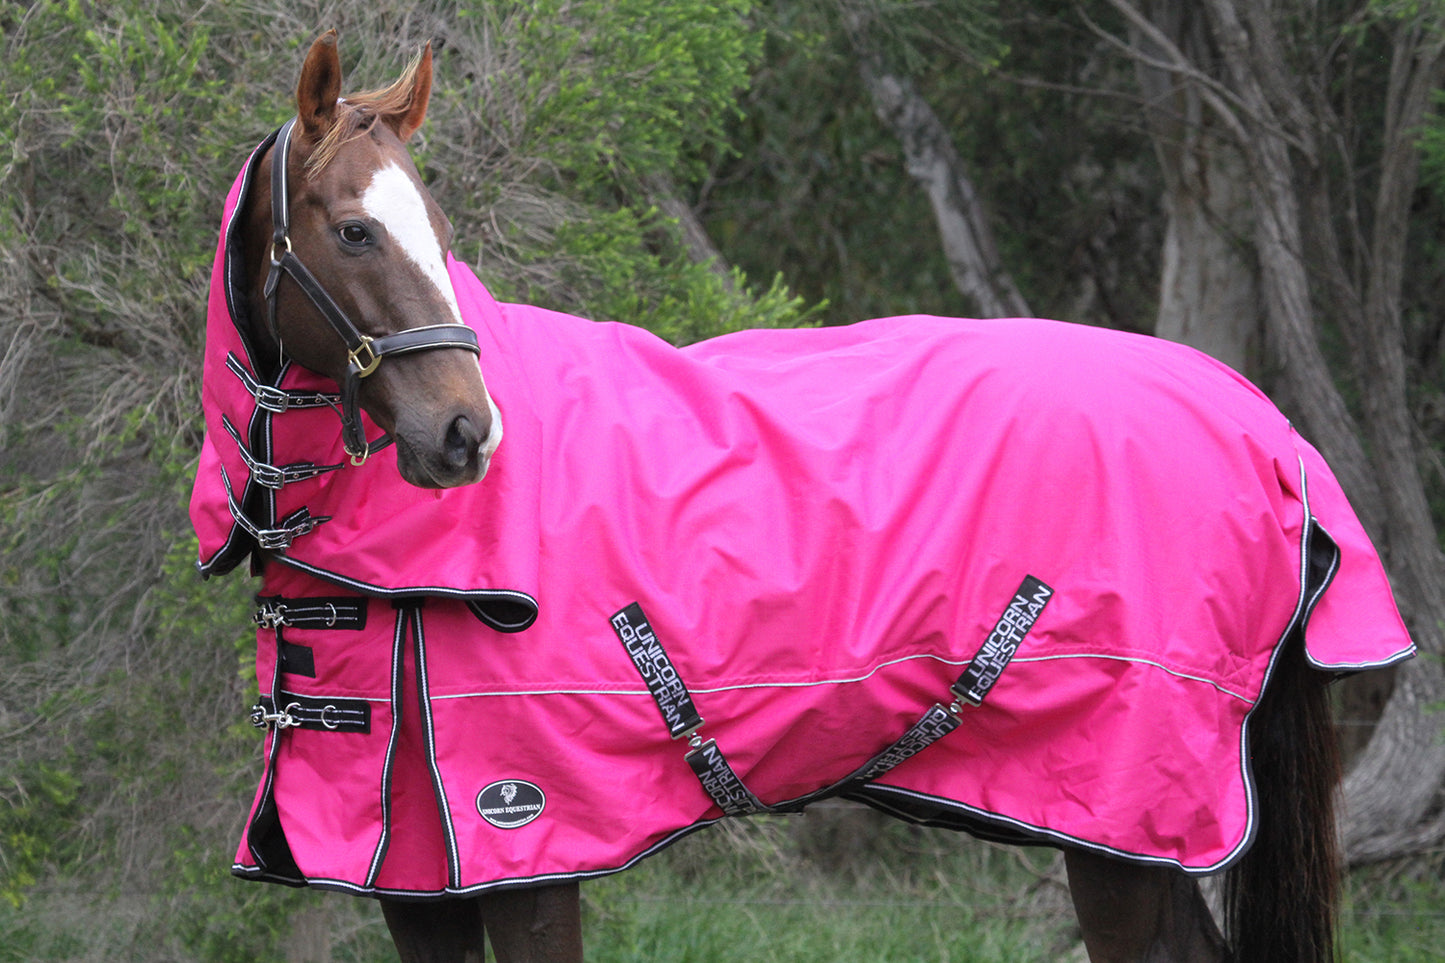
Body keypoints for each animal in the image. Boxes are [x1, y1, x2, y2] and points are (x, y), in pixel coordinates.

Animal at [193, 32, 1414, 963]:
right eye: (355, 229)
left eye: (437, 236)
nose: (464, 434)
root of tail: (1271, 431)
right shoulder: (417, 890)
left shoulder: (531, 850)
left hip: (1126, 832)